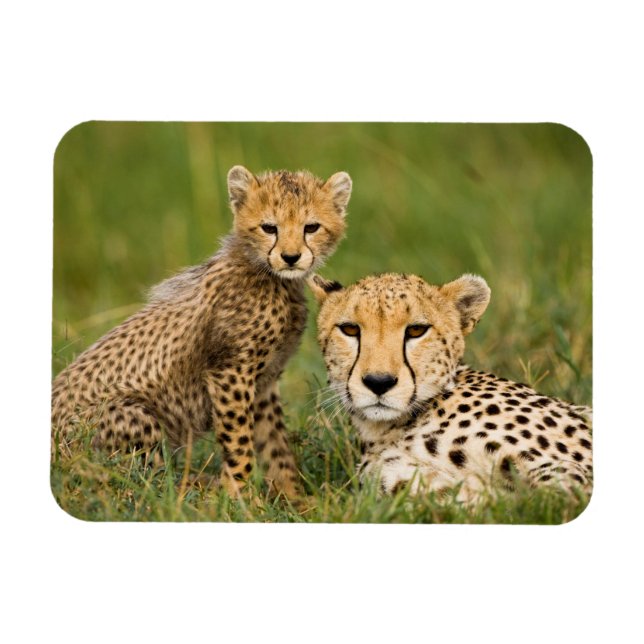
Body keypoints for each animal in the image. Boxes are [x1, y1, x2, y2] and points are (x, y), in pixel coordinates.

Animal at [52, 165, 352, 500]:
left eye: (311, 227)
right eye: (269, 228)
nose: (290, 257)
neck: (270, 277)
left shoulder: (264, 382)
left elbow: (276, 446)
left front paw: (293, 497)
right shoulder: (230, 373)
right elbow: (240, 443)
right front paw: (241, 499)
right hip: (132, 414)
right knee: (145, 483)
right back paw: (202, 488)